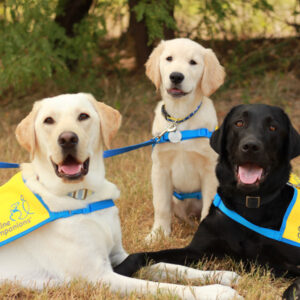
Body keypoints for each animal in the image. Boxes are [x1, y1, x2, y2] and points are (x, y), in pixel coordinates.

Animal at [0, 94, 241, 300]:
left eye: (83, 116)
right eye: (48, 121)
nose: (67, 139)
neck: (83, 197)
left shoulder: (118, 255)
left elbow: (169, 266)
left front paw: (220, 274)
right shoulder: (97, 277)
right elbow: (163, 287)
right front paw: (215, 292)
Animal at [114, 104, 300, 298]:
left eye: (273, 127)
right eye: (239, 123)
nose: (250, 146)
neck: (248, 205)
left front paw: (292, 293)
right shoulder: (197, 250)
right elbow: (140, 255)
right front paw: (119, 270)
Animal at [145, 38, 225, 241]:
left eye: (193, 62)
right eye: (169, 58)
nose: (176, 76)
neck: (180, 119)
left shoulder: (210, 170)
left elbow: (208, 206)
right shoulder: (160, 169)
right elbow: (161, 205)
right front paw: (158, 234)